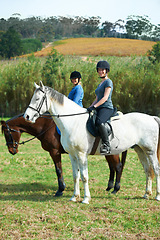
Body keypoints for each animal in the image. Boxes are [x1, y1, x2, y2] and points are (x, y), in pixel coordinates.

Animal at [23, 81, 160, 203]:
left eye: (37, 99)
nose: (27, 117)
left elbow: (84, 176)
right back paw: (146, 194)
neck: (73, 122)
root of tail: (152, 118)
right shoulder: (72, 155)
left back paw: (157, 196)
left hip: (150, 150)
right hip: (140, 150)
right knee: (148, 170)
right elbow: (76, 176)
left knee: (156, 168)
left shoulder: (81, 154)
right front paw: (74, 197)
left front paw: (85, 199)